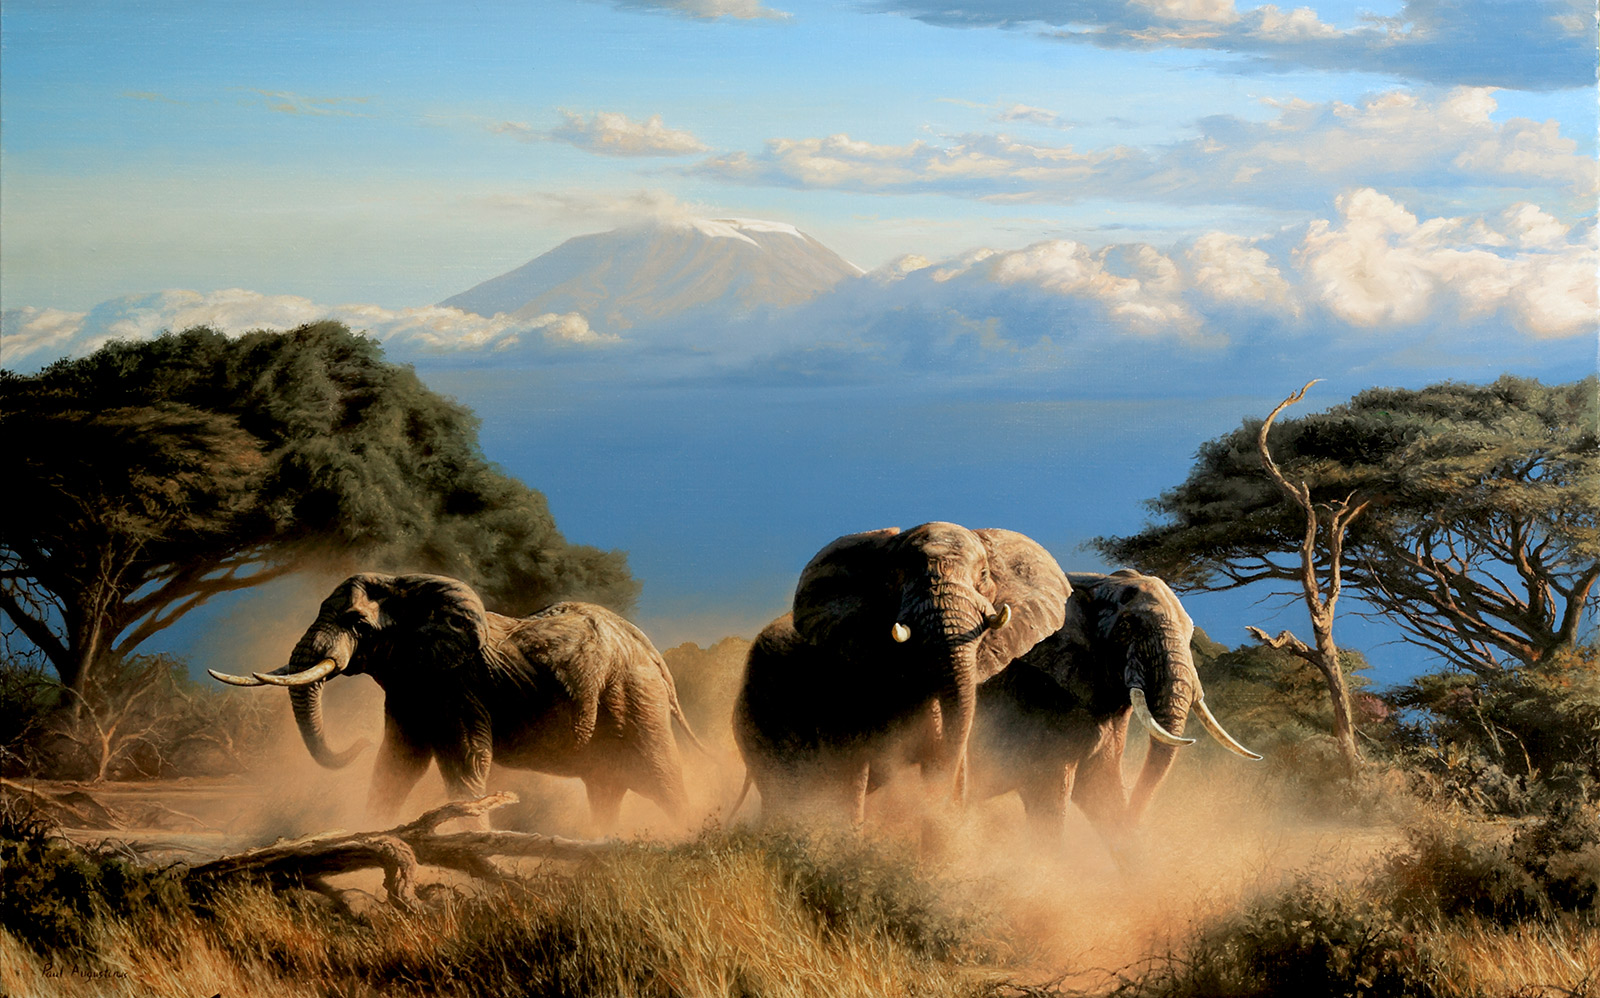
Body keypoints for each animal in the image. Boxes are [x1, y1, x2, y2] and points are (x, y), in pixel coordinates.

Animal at [210, 573, 703, 827]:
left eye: (358, 624)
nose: (356, 744)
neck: (408, 586)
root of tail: (653, 655)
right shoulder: (412, 687)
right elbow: (397, 764)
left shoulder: (457, 685)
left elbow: (466, 761)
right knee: (606, 787)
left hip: (634, 699)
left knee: (664, 779)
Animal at [970, 569, 1259, 847]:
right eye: (1127, 625)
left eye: (1190, 632)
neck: (1096, 582)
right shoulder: (1038, 697)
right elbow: (1049, 800)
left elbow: (1103, 790)